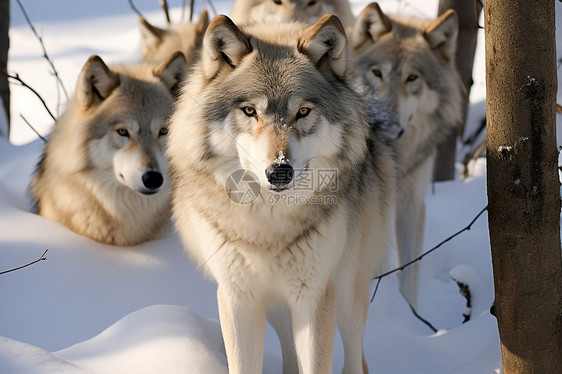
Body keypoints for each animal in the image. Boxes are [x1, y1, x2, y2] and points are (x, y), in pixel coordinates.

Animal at [168, 12, 396, 374]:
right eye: (250, 111)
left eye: (302, 111)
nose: (279, 171)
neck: (267, 226)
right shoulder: (237, 299)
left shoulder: (314, 297)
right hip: (278, 309)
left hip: (347, 292)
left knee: (355, 357)